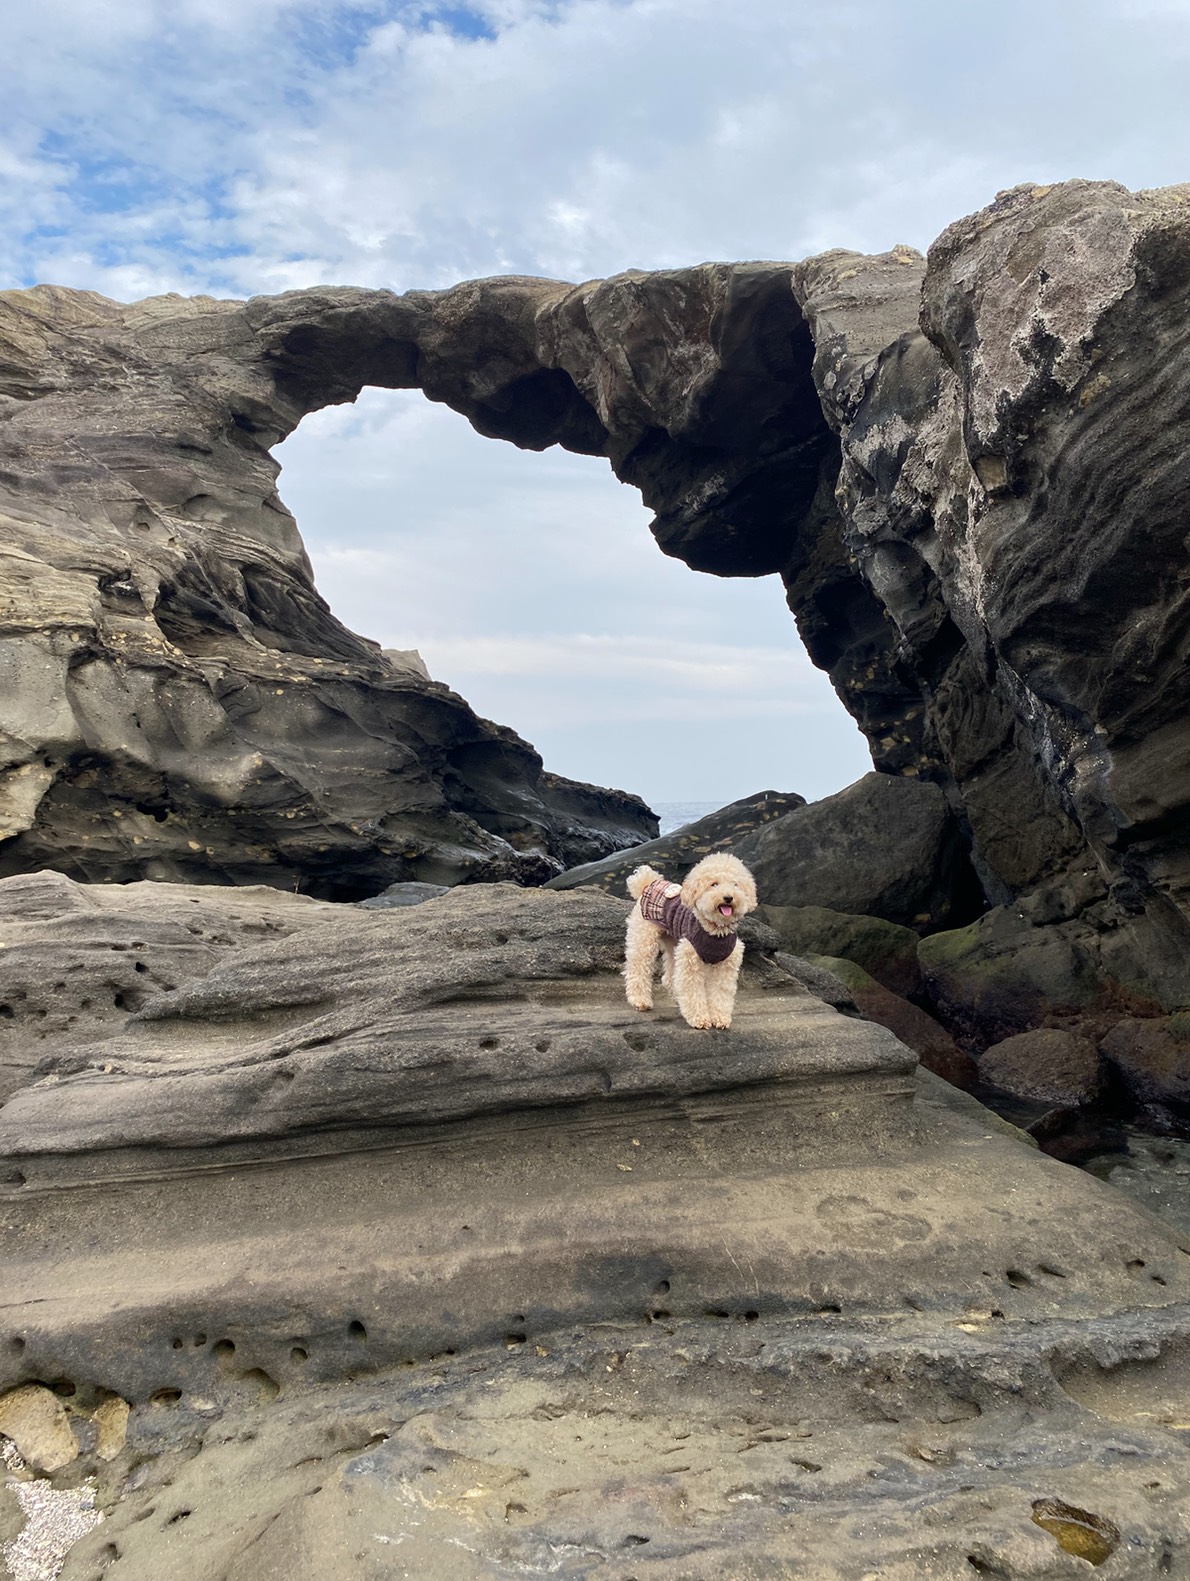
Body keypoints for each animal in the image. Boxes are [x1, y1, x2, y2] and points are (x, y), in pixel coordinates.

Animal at [623, 852, 757, 1029]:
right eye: (714, 884)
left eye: (736, 885)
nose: (728, 897)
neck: (715, 930)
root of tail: (648, 883)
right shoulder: (690, 959)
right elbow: (693, 989)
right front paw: (699, 1018)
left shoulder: (725, 964)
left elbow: (721, 991)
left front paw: (720, 1018)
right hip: (644, 938)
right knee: (638, 967)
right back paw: (640, 1001)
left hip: (674, 943)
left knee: (670, 977)